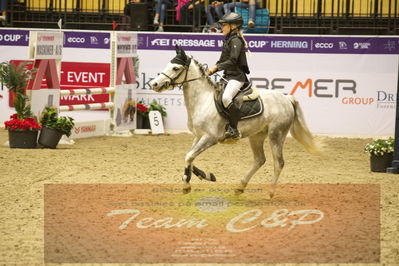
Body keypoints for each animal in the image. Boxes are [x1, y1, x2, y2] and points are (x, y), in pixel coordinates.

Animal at [148, 47, 320, 197]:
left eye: (175, 68)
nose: (154, 84)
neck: (203, 100)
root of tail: (286, 98)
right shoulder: (198, 136)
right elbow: (189, 156)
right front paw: (205, 175)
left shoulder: (209, 138)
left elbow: (189, 156)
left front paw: (187, 185)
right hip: (257, 135)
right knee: (260, 160)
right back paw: (240, 187)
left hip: (276, 135)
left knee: (279, 162)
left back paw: (270, 193)